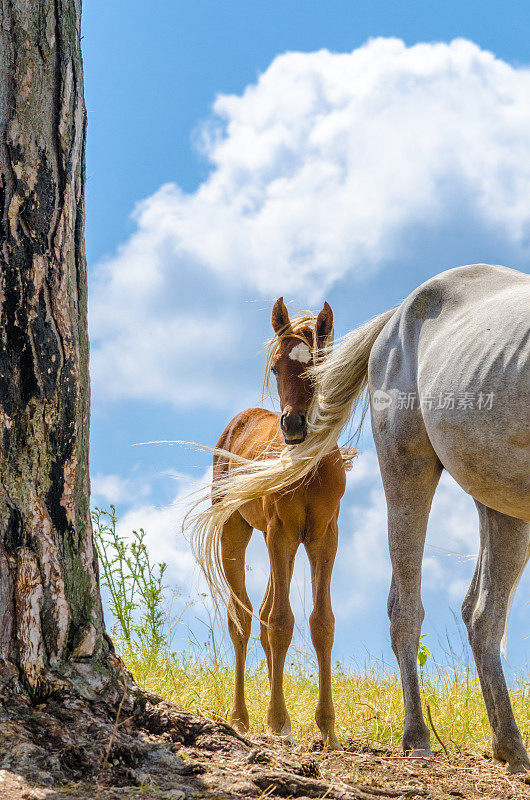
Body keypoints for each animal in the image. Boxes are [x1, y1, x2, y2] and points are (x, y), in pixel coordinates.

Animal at [211, 296, 346, 748]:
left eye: (317, 366)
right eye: (274, 368)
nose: (293, 424)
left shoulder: (324, 536)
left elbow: (321, 623)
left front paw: (327, 728)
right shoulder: (281, 533)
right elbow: (281, 622)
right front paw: (279, 721)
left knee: (267, 611)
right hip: (237, 531)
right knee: (244, 617)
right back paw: (241, 717)